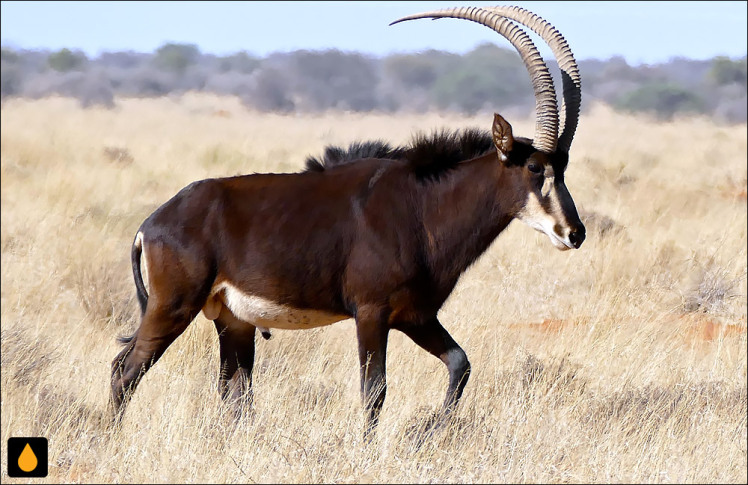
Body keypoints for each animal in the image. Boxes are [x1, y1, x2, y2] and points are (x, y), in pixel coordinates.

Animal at [111, 4, 588, 434]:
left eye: (563, 167)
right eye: (534, 168)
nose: (574, 233)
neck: (422, 206)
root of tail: (151, 224)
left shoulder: (414, 315)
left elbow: (460, 363)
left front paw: (433, 430)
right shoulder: (372, 313)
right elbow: (374, 389)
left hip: (233, 321)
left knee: (233, 392)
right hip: (173, 307)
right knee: (126, 369)